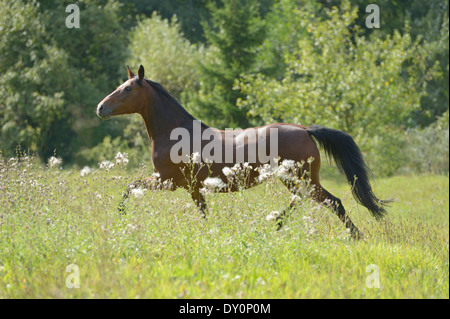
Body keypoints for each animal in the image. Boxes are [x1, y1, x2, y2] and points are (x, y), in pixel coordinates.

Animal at [96, 65, 388, 240]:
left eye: (127, 89)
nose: (100, 108)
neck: (174, 133)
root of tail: (305, 130)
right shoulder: (191, 187)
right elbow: (202, 212)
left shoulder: (170, 182)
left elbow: (130, 186)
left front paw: (120, 216)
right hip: (297, 179)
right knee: (307, 200)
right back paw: (277, 225)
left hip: (298, 177)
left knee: (330, 202)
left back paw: (352, 236)